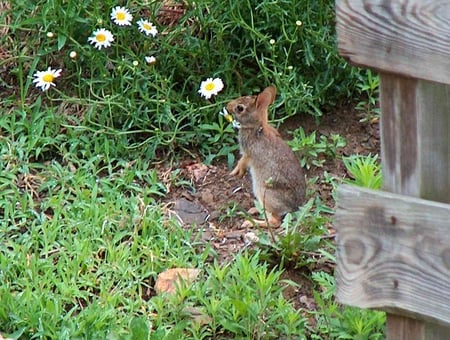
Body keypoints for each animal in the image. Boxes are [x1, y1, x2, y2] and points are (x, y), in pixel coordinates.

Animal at [229, 86, 306, 227]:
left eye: (240, 108)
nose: (228, 106)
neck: (256, 128)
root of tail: (293, 208)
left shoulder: (249, 154)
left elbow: (242, 161)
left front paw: (235, 172)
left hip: (264, 193)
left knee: (274, 222)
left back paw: (250, 222)